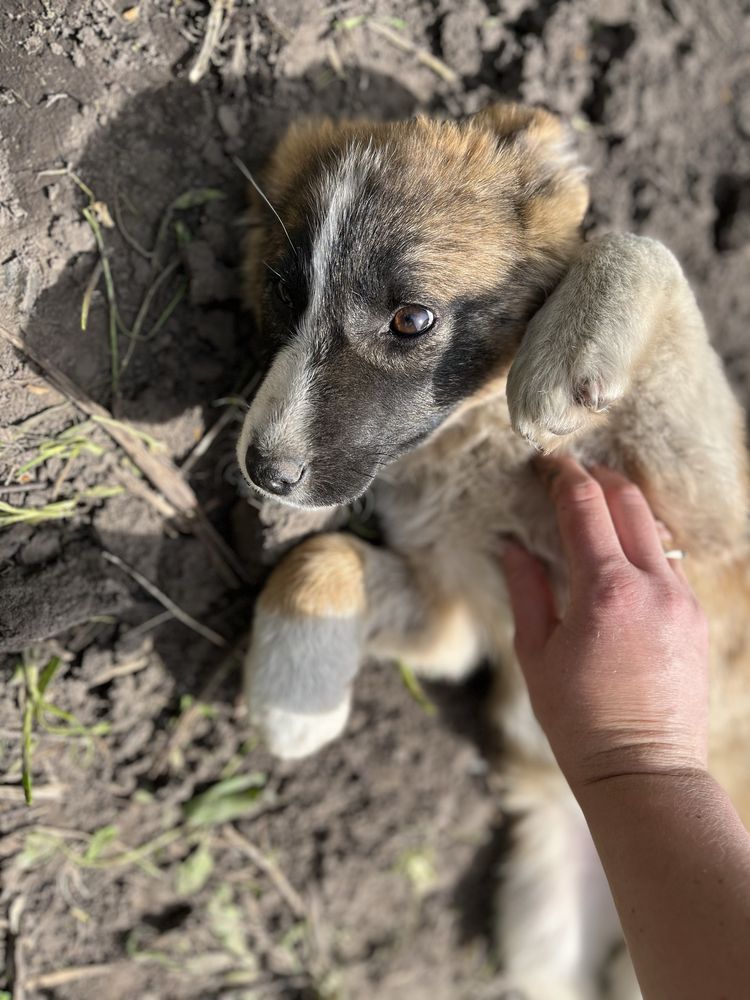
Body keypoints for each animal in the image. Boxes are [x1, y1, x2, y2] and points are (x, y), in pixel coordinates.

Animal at [235, 103, 750, 1000]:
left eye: (411, 319)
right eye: (279, 293)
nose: (264, 470)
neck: (474, 444)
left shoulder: (713, 527)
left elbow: (640, 245)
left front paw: (565, 351)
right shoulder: (458, 619)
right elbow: (321, 556)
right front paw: (293, 697)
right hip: (546, 932)